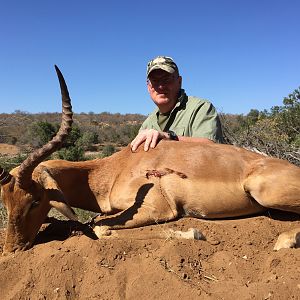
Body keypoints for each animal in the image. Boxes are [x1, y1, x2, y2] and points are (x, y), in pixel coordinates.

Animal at [0, 67, 298, 252]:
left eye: (35, 200)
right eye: (6, 201)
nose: (13, 248)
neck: (114, 169)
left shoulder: (159, 208)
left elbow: (99, 229)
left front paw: (195, 233)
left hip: (263, 191)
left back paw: (285, 241)